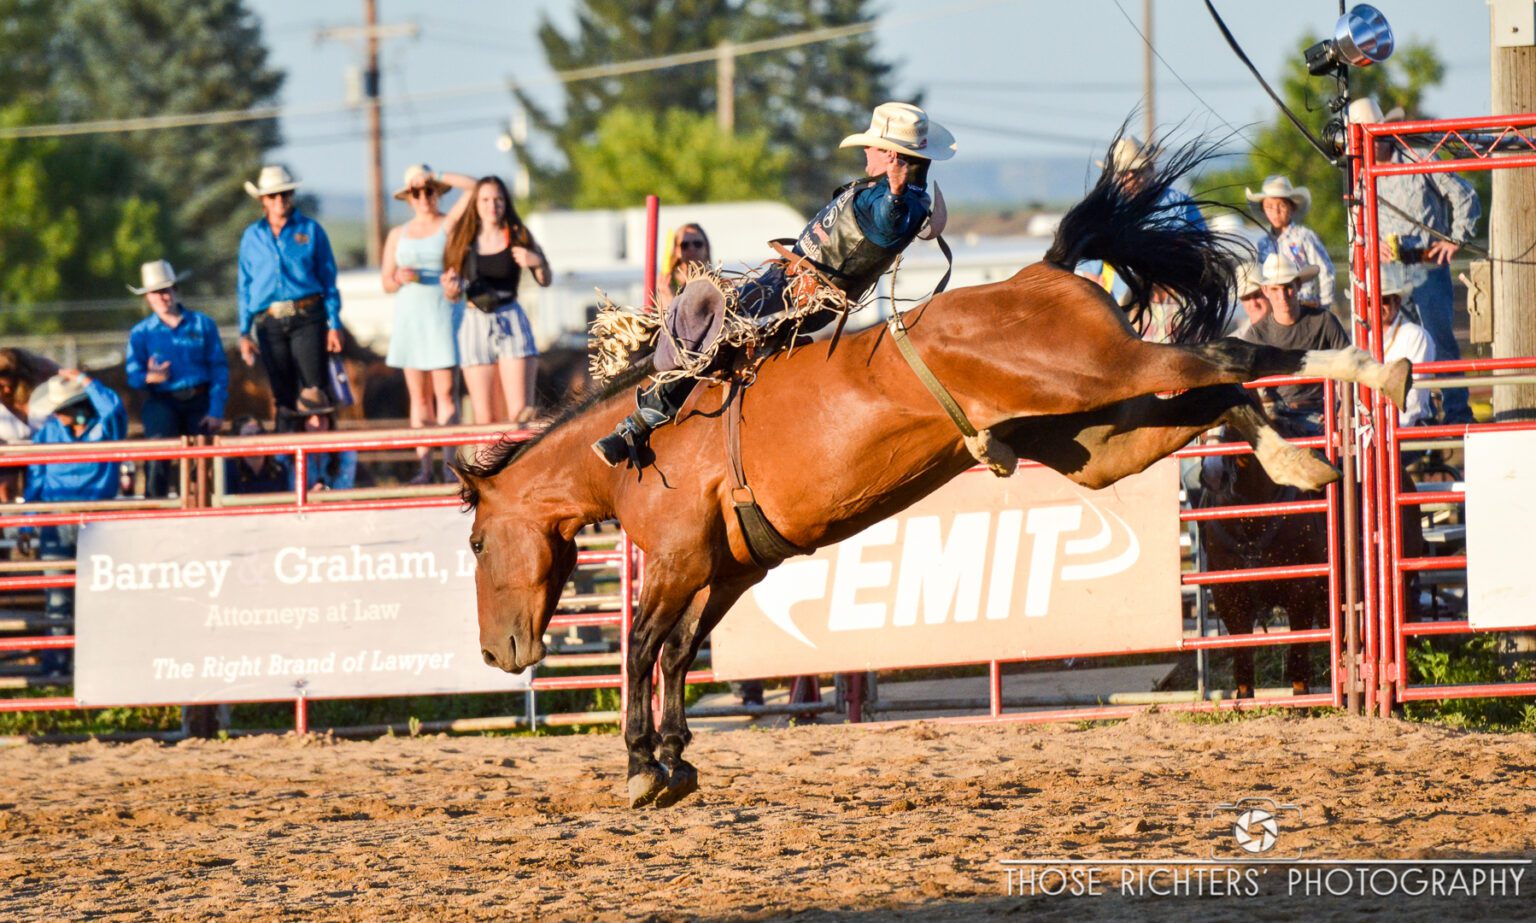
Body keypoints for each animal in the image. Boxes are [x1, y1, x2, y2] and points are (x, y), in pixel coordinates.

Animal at [448, 136, 1406, 804]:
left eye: (476, 542)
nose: (497, 652)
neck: (637, 453)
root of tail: (1044, 271)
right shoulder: (726, 568)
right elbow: (681, 651)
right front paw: (677, 762)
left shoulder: (680, 558)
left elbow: (642, 646)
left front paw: (642, 765)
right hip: (1095, 436)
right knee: (1217, 389)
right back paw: (1298, 460)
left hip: (1102, 373)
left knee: (1229, 352)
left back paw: (1374, 372)